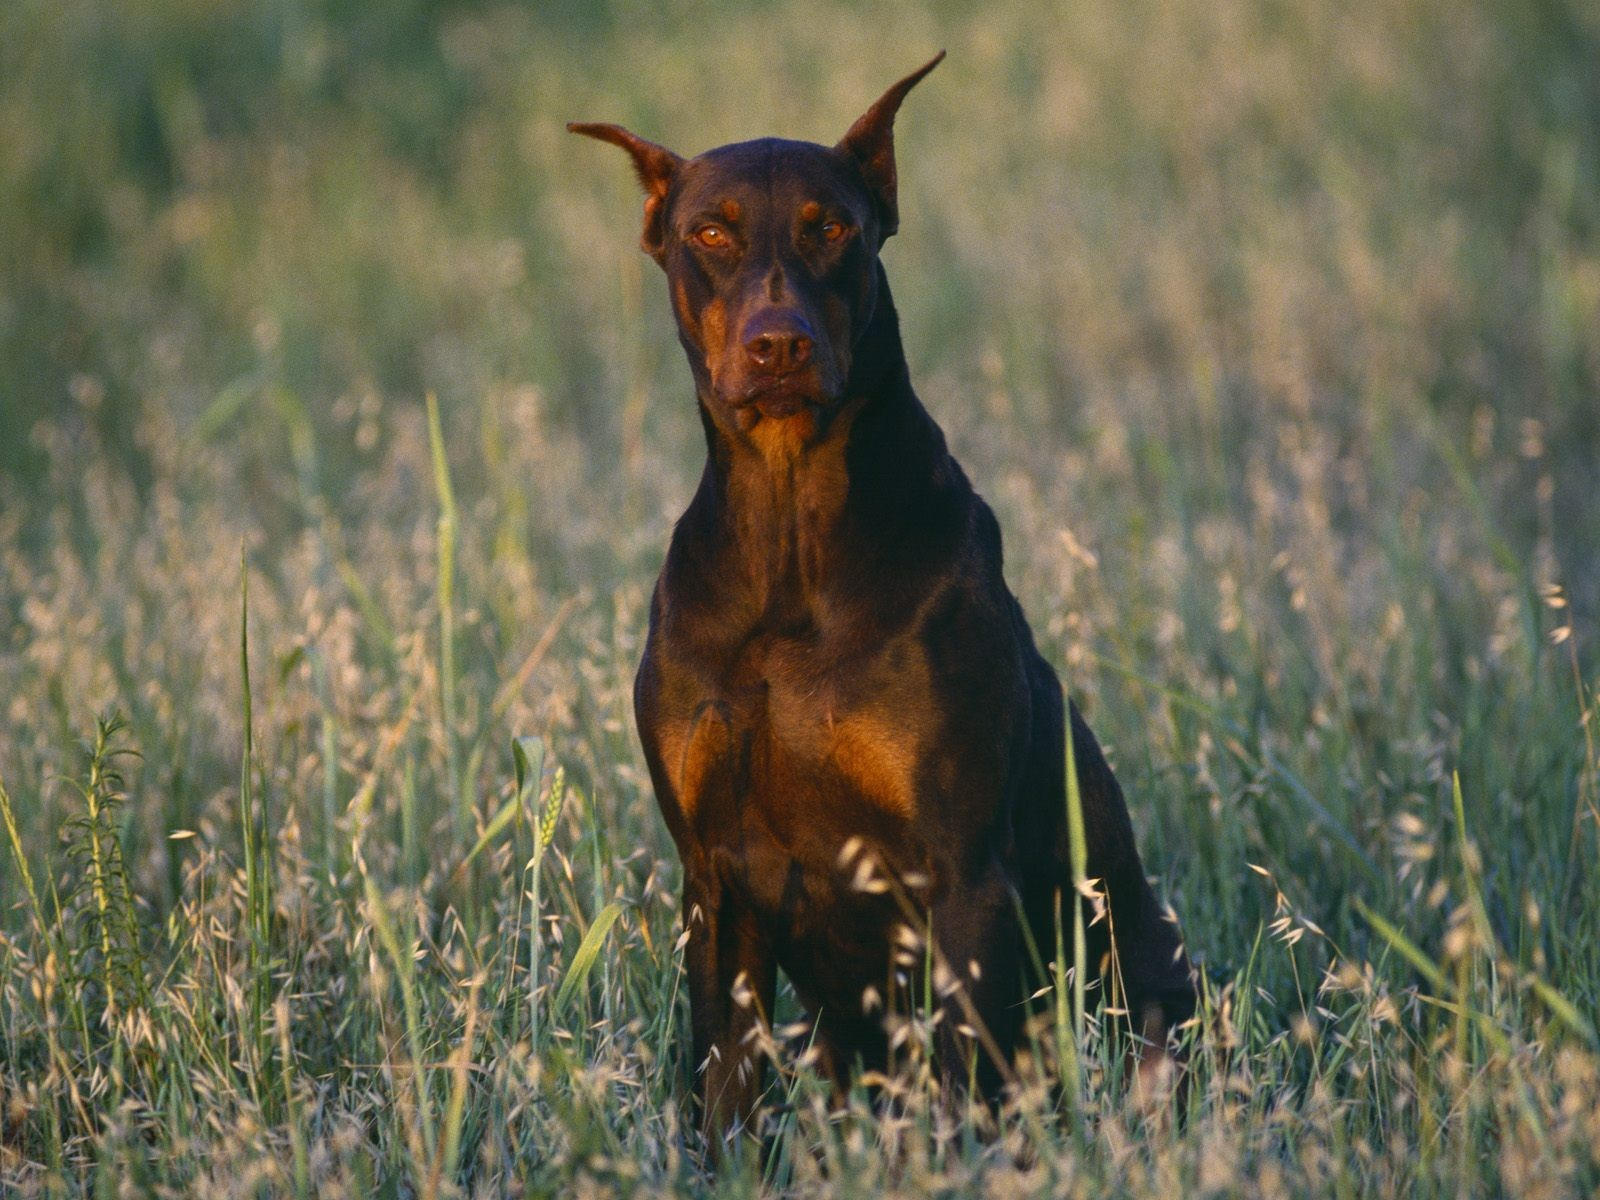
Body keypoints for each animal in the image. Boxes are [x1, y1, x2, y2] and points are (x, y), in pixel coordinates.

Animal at [569, 54, 1196, 1145]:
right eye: (710, 233)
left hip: (1150, 978)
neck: (790, 553)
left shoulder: (959, 875)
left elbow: (966, 1088)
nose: (778, 346)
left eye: (834, 227)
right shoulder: (713, 880)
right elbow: (723, 1087)